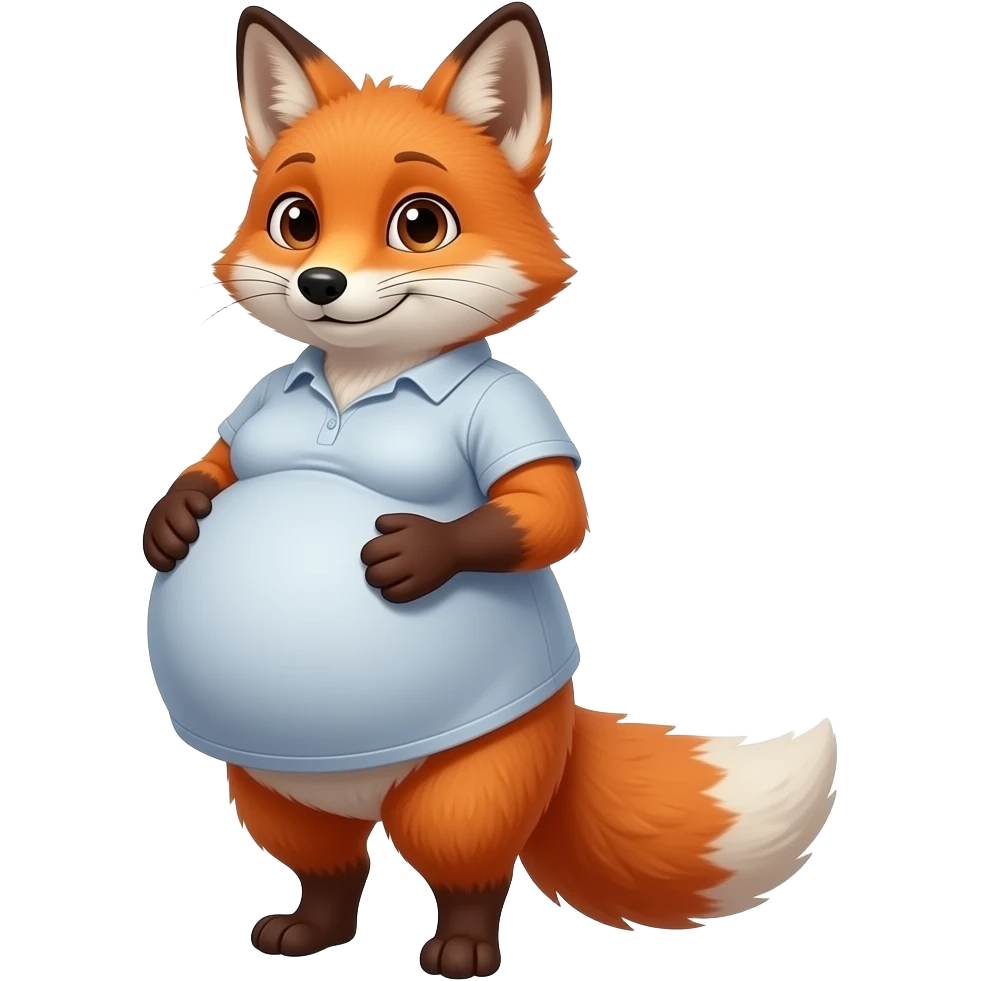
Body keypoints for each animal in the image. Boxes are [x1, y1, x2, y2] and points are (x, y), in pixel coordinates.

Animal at [143, 3, 839, 977]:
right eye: (296, 220)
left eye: (419, 224)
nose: (320, 284)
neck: (362, 377)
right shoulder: (259, 406)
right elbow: (220, 460)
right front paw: (171, 520)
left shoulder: (518, 412)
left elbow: (549, 514)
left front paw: (418, 551)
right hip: (280, 792)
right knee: (330, 864)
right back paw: (310, 930)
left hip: (467, 786)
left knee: (467, 865)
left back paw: (463, 947)